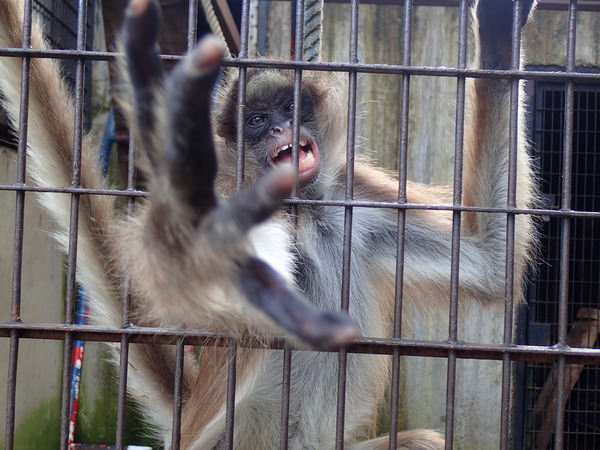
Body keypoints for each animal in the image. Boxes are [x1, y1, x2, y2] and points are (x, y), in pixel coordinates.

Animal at [0, 0, 536, 450]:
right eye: (257, 121)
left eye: (289, 107)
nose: (280, 129)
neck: (306, 212)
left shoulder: (356, 200)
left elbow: (491, 261)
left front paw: (499, 32)